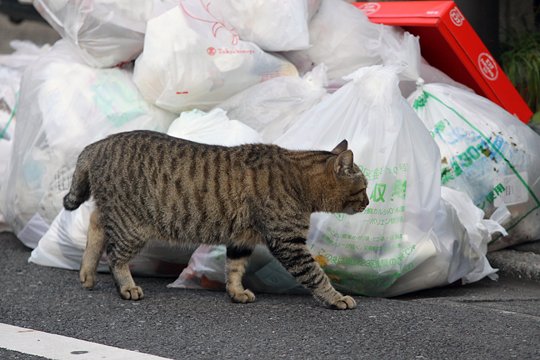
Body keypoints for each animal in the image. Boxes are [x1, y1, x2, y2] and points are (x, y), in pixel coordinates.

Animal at [62, 129, 368, 310]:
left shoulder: (242, 239)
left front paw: (236, 292)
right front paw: (336, 298)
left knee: (96, 223)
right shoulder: (289, 243)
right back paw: (126, 286)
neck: (299, 177)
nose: (368, 203)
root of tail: (99, 143)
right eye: (364, 187)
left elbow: (234, 269)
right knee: (115, 256)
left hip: (115, 213)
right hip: (131, 225)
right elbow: (316, 275)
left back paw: (87, 273)